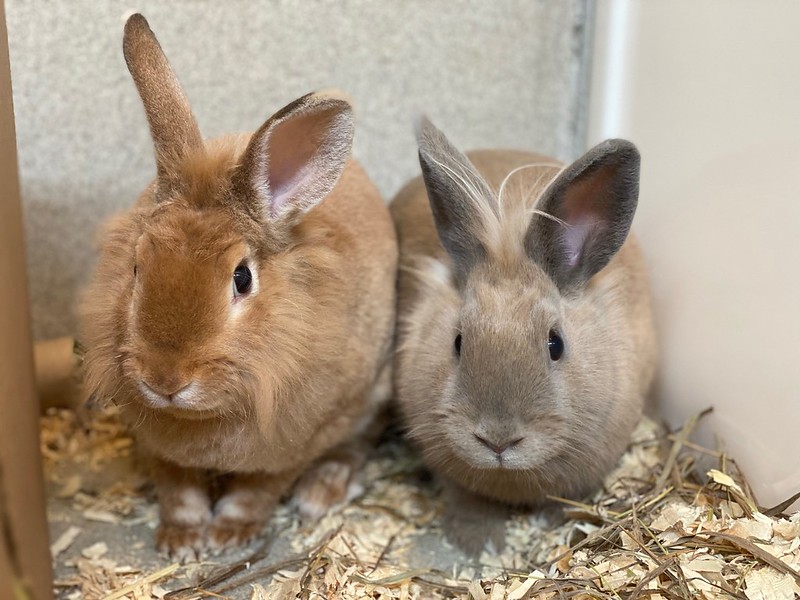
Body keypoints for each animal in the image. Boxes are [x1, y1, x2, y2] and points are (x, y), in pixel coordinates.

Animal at [79, 15, 398, 564]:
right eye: (137, 267)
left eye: (242, 277)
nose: (164, 380)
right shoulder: (159, 447)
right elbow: (177, 487)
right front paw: (182, 543)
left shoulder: (296, 440)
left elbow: (259, 489)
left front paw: (231, 533)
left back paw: (323, 491)